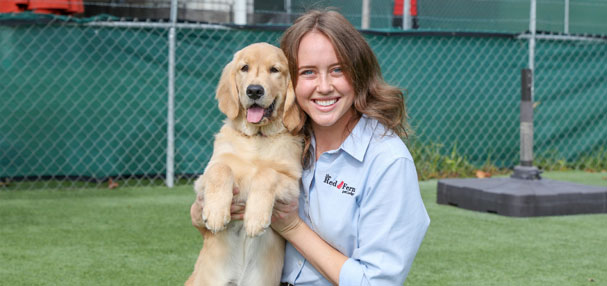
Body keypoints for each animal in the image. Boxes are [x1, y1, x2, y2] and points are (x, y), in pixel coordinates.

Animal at [186, 42, 304, 286]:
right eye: (244, 68)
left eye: (275, 70)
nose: (254, 91)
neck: (257, 138)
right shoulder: (204, 177)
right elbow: (221, 169)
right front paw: (215, 213)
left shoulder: (292, 181)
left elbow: (266, 173)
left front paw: (255, 219)